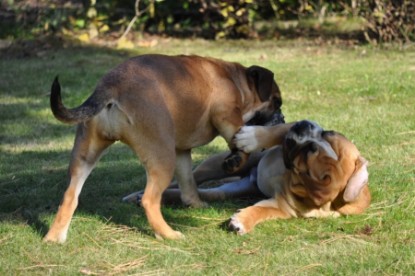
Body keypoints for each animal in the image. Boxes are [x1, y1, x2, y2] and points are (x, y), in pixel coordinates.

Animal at [45, 54, 284, 242]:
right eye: (276, 102)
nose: (282, 118)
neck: (235, 79)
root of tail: (112, 85)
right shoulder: (226, 115)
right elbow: (239, 139)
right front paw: (235, 159)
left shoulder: (181, 151)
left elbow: (188, 183)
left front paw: (195, 204)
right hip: (162, 158)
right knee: (149, 200)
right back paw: (168, 234)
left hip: (85, 154)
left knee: (70, 196)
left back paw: (54, 237)